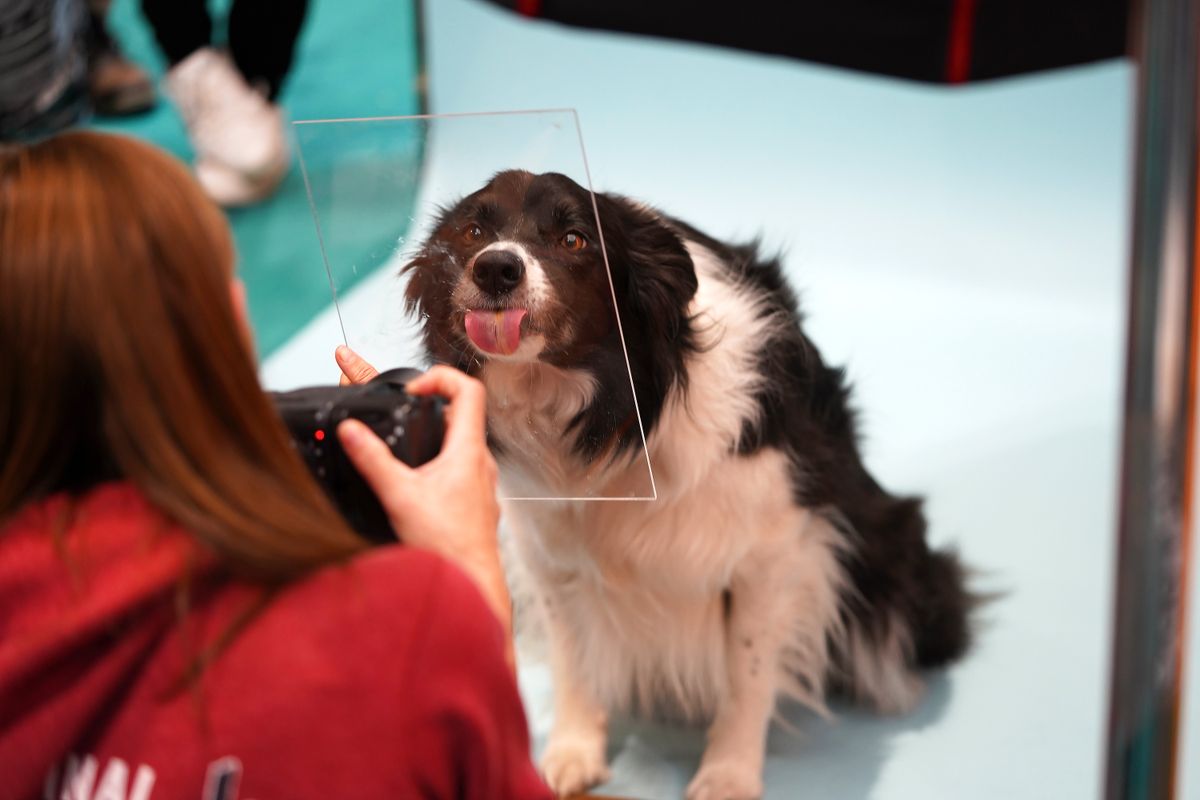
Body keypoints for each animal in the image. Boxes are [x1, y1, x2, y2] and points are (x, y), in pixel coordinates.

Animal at [405, 170, 974, 800]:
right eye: (474, 232)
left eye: (575, 239)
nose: (496, 269)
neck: (610, 419)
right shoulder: (545, 549)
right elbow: (573, 655)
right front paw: (572, 753)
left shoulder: (771, 551)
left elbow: (748, 674)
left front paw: (728, 773)